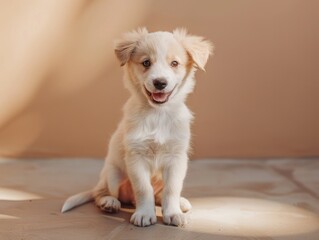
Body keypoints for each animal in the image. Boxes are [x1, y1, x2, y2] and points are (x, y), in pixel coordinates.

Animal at [61, 28, 214, 227]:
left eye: (174, 63)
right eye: (146, 62)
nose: (160, 83)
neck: (157, 114)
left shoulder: (176, 157)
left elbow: (172, 188)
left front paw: (173, 212)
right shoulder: (136, 156)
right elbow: (143, 188)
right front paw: (144, 214)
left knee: (160, 194)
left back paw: (180, 203)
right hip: (112, 174)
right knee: (101, 193)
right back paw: (109, 202)